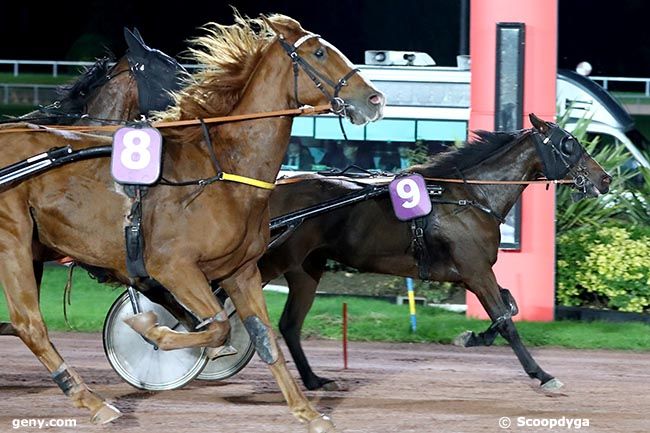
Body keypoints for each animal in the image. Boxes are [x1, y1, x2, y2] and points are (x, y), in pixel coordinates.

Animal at [0, 12, 380, 428]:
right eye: (319, 52)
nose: (375, 99)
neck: (222, 171)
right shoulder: (172, 267)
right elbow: (215, 326)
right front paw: (151, 330)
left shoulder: (240, 270)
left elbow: (262, 337)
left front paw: (308, 412)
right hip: (12, 241)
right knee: (29, 324)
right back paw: (94, 402)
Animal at [256, 113, 608, 390]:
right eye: (568, 144)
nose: (604, 178)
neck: (472, 197)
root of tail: (274, 189)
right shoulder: (477, 272)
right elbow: (506, 320)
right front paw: (542, 374)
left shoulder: (471, 273)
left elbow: (510, 306)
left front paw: (474, 337)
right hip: (274, 259)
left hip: (306, 269)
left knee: (290, 325)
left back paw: (314, 380)